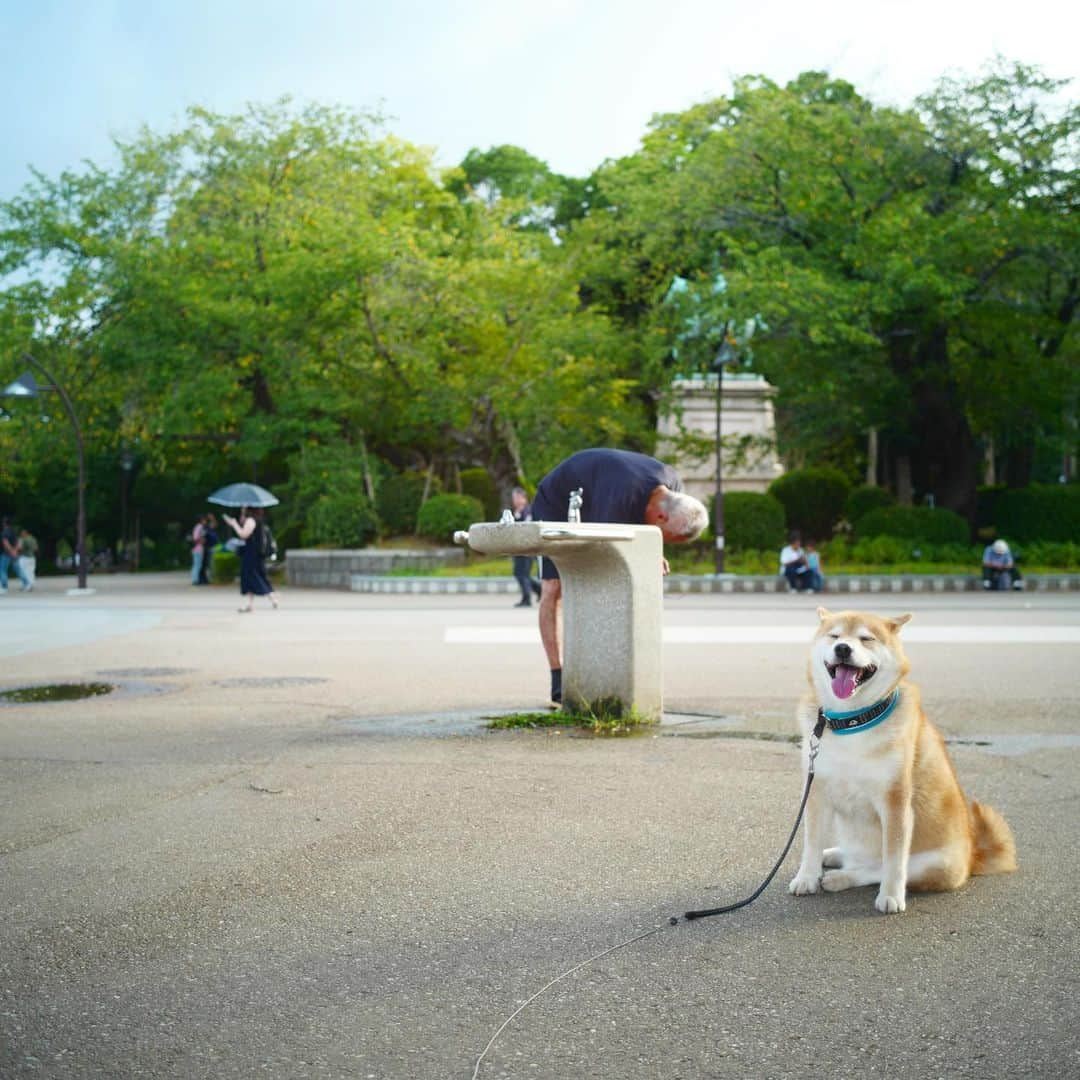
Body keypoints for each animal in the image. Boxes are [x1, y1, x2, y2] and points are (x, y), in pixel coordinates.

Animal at [790, 609, 1015, 911]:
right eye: (834, 636)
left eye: (866, 638)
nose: (843, 648)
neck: (853, 722)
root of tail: (972, 856)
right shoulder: (816, 791)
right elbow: (811, 842)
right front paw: (807, 877)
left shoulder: (895, 801)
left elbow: (894, 860)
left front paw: (890, 896)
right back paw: (836, 855)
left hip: (934, 863)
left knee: (875, 868)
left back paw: (842, 878)